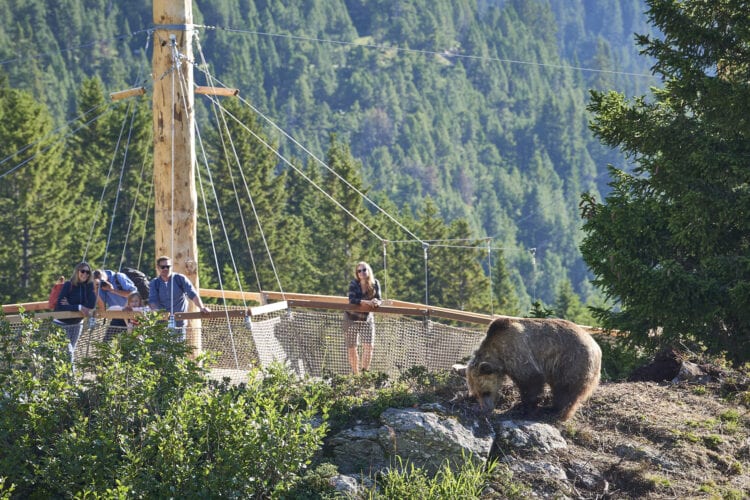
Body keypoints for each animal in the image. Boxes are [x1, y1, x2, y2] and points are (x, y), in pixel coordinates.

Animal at [468, 318, 604, 420]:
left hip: (572, 361)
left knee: (566, 390)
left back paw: (555, 411)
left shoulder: (516, 351)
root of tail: (597, 348)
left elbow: (531, 379)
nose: (486, 409)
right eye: (476, 394)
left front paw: (524, 407)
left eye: (486, 392)